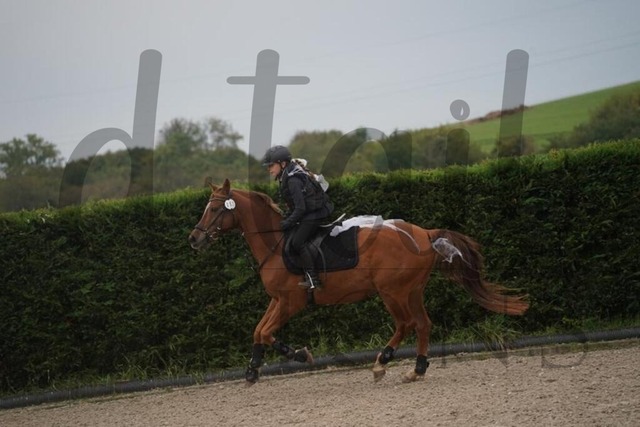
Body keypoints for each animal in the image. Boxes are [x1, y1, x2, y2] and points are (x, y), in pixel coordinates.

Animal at [188, 179, 529, 385]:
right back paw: (417, 370)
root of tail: (424, 234)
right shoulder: (278, 300)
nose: (194, 239)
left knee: (406, 324)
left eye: (215, 208)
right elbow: (259, 330)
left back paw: (381, 362)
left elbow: (267, 332)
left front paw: (299, 355)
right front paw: (253, 368)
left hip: (392, 292)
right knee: (423, 324)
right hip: (412, 290)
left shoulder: (291, 301)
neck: (276, 243)